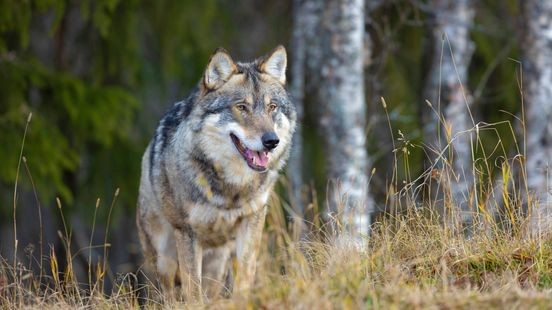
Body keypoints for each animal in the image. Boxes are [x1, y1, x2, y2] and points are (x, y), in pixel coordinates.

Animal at [136, 45, 296, 300]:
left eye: (272, 107)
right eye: (242, 107)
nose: (271, 141)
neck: (232, 188)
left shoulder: (252, 221)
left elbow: (245, 276)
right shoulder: (187, 233)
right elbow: (193, 291)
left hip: (216, 264)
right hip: (163, 260)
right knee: (166, 294)